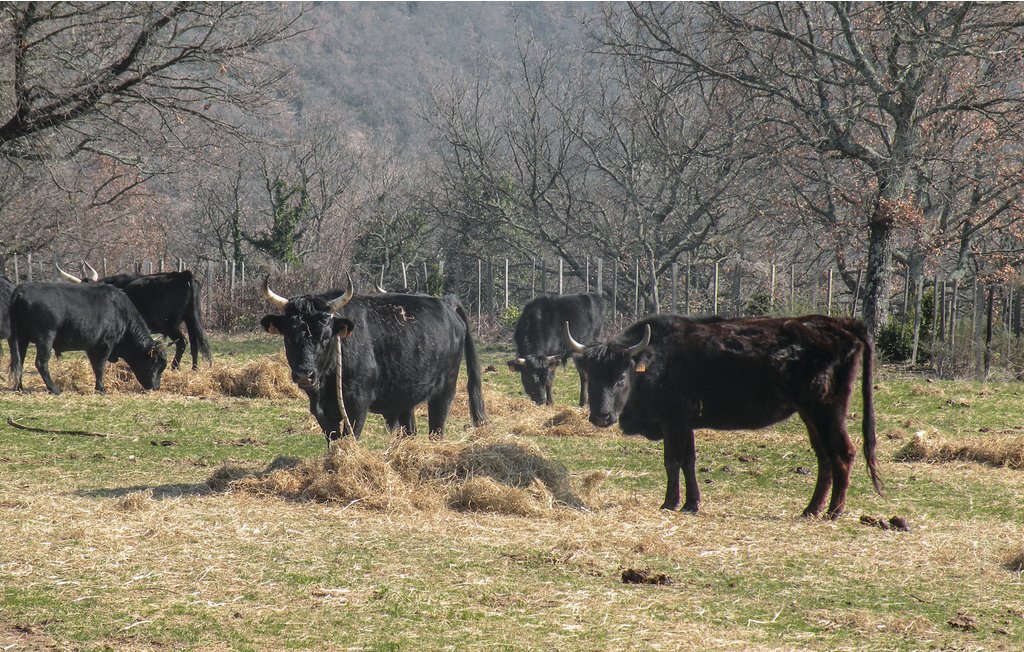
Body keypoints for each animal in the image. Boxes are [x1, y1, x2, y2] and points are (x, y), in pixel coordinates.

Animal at [7, 282, 165, 395]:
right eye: (156, 364)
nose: (155, 387)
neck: (121, 313)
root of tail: (22, 288)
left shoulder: (92, 347)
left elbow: (95, 366)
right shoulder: (105, 345)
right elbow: (100, 366)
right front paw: (101, 389)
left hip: (21, 338)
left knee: (19, 361)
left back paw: (19, 388)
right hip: (45, 337)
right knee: (41, 363)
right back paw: (54, 389)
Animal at [258, 274, 485, 442]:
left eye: (325, 336)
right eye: (289, 336)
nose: (305, 375)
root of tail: (447, 304)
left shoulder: (357, 405)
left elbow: (350, 439)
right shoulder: (321, 410)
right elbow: (333, 441)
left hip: (445, 390)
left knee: (436, 429)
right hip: (406, 395)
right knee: (410, 430)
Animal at [569, 313, 880, 522]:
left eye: (621, 377)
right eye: (591, 376)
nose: (601, 416)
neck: (654, 359)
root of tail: (844, 325)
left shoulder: (673, 421)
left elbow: (672, 462)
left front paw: (670, 503)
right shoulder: (686, 424)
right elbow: (689, 462)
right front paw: (692, 504)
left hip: (827, 411)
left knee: (843, 453)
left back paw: (833, 512)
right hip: (809, 414)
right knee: (824, 457)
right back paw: (811, 509)